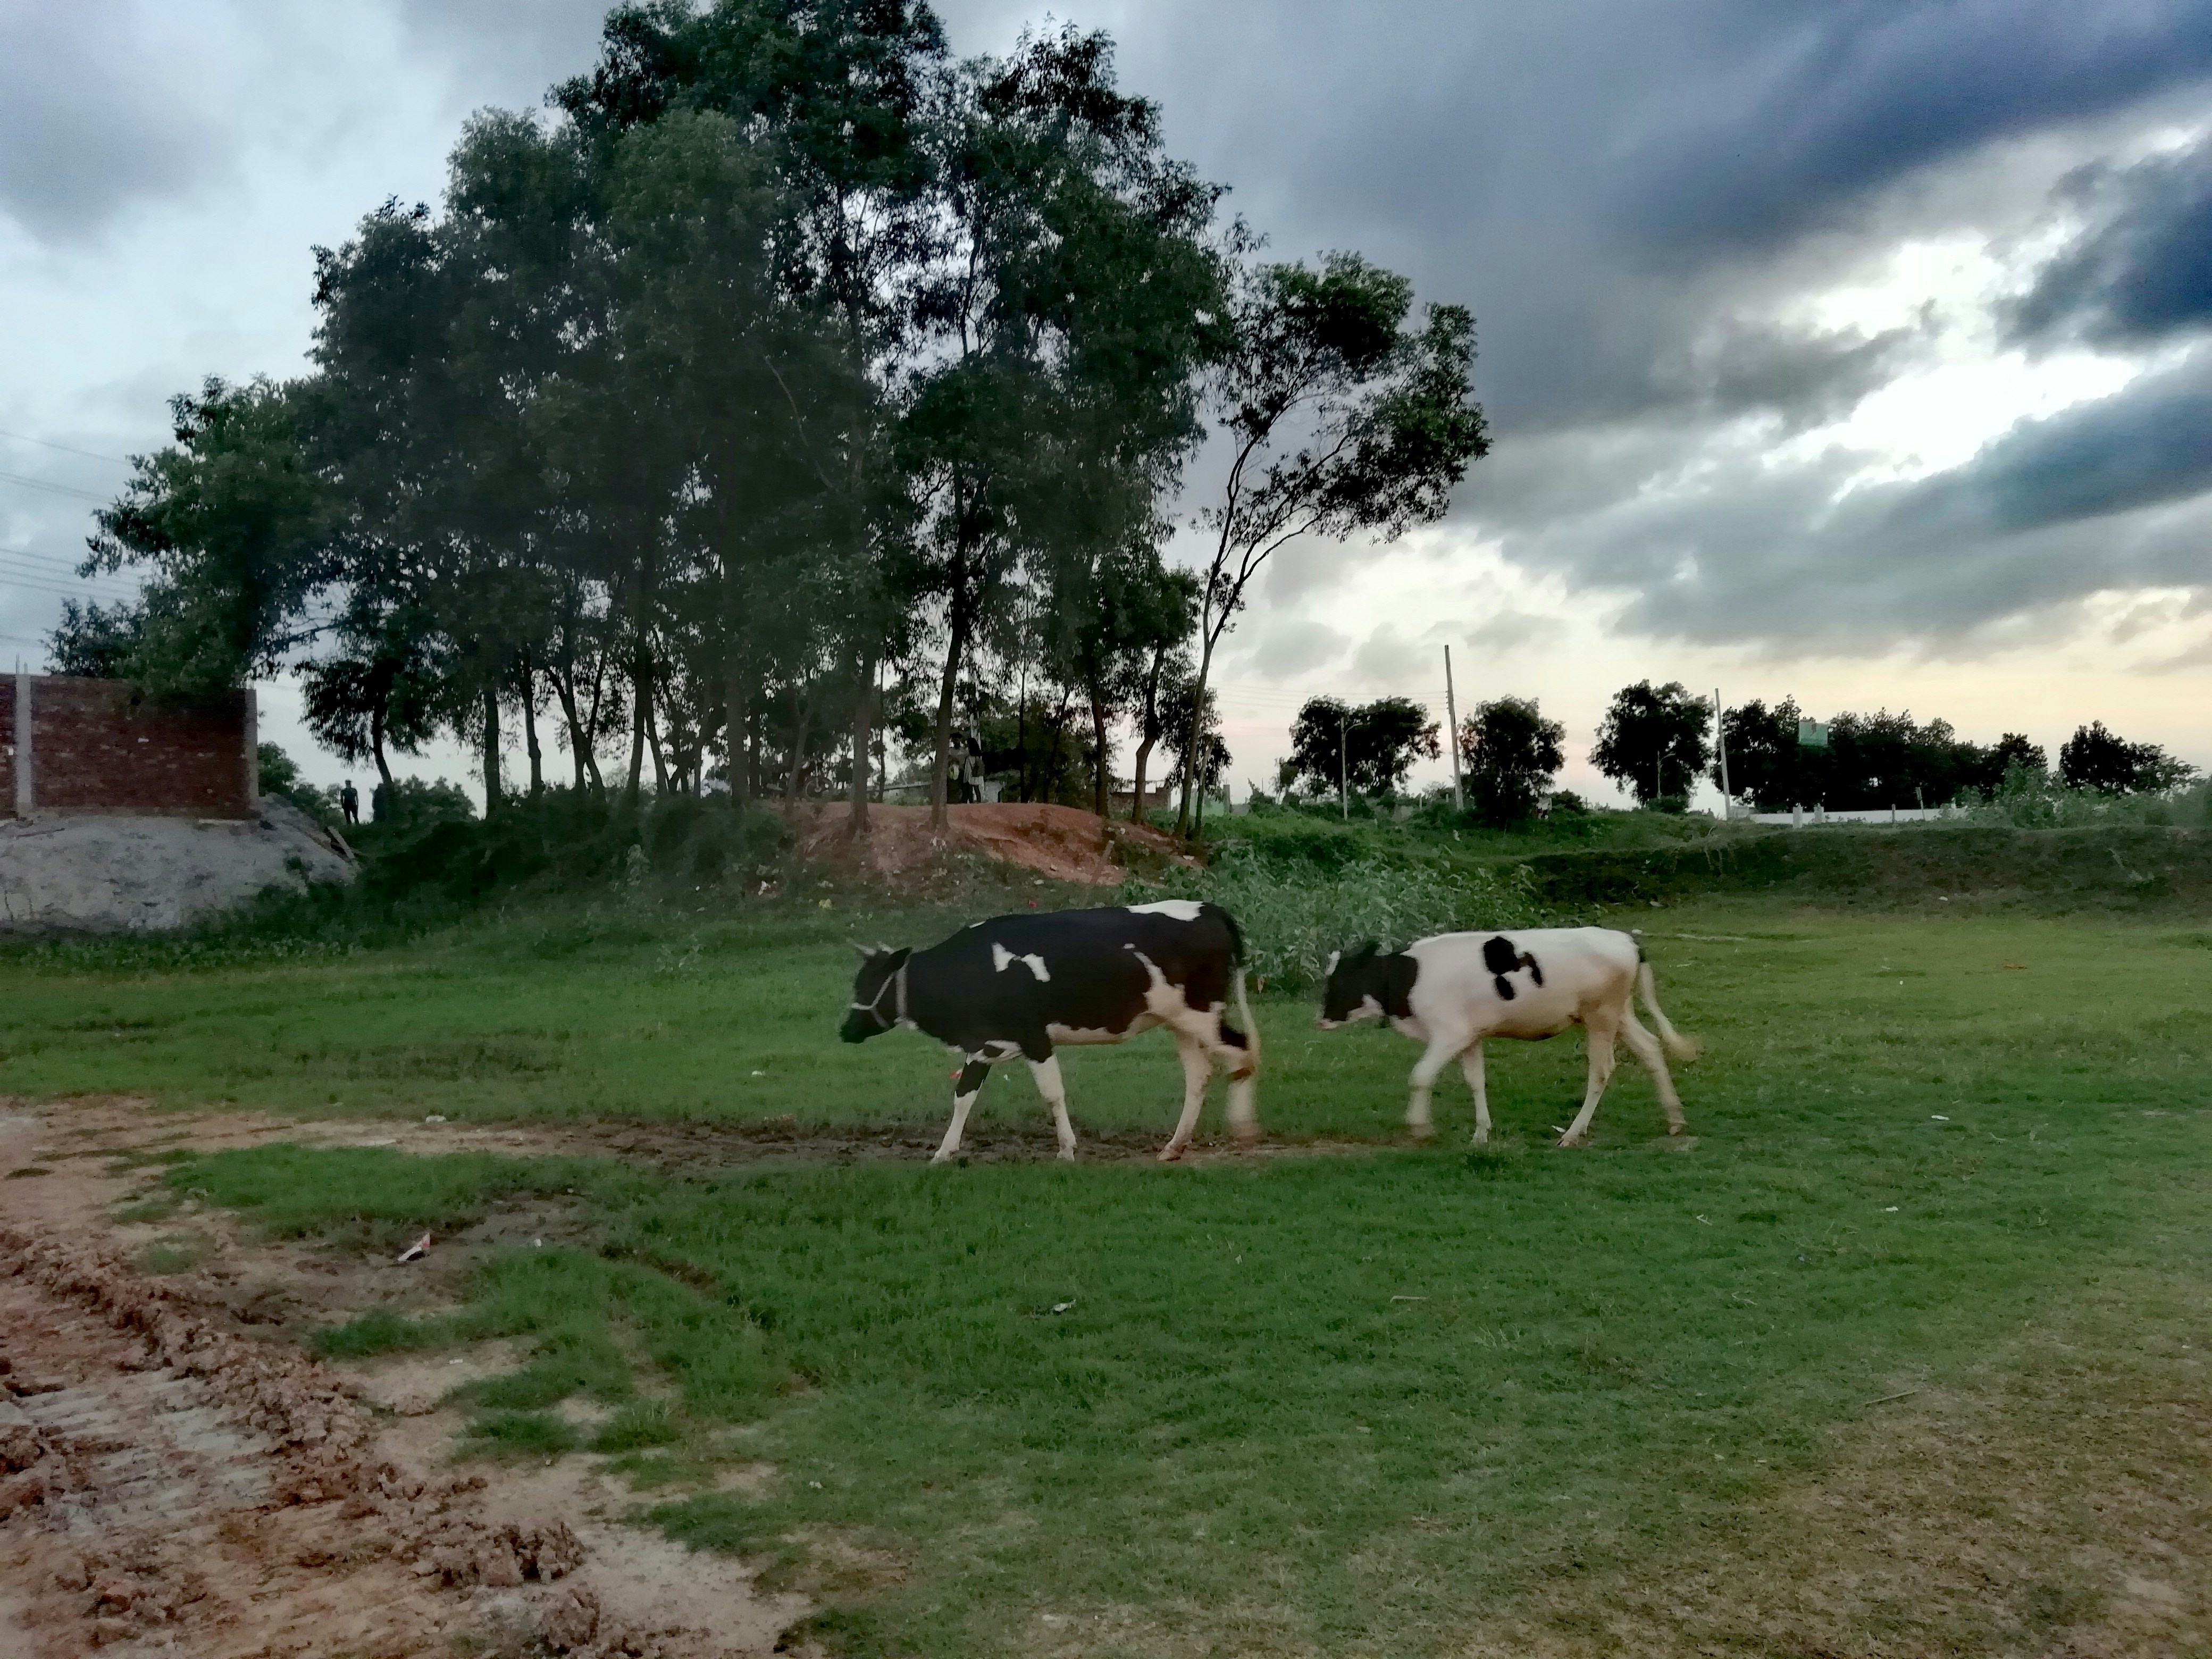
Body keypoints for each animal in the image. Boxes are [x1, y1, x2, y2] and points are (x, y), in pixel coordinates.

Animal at [840, 899, 1261, 1163]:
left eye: (868, 985)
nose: (845, 1030)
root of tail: (1208, 908)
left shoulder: (1034, 1038)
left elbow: (1052, 1094)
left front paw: (1066, 1149)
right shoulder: (985, 1044)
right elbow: (963, 1097)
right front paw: (943, 1153)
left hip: (1202, 1014)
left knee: (1241, 1053)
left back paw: (1244, 1129)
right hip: (1182, 1022)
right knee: (1200, 1075)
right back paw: (1174, 1147)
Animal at [1317, 928, 1697, 1147]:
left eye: (1341, 981)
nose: (1320, 1020)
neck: (1410, 977)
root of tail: (1625, 938)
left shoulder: (1449, 1034)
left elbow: (1420, 1076)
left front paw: (1420, 1127)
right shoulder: (1469, 1036)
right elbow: (1475, 1082)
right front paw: (1481, 1134)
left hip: (1601, 1015)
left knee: (1602, 1070)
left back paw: (1573, 1134)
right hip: (1619, 1014)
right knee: (1651, 1048)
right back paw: (1675, 1119)